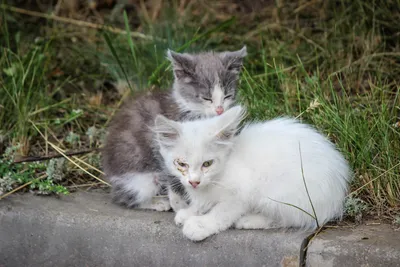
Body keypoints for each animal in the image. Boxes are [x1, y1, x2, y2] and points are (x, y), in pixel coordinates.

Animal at [101, 47, 247, 213]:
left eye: (227, 96)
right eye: (207, 98)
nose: (220, 110)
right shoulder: (159, 143)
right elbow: (171, 173)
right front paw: (179, 203)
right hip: (139, 177)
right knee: (124, 197)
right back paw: (157, 202)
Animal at [155, 105, 352, 242]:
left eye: (207, 164)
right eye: (181, 164)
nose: (194, 181)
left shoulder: (240, 193)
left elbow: (222, 212)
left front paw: (201, 225)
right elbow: (202, 203)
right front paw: (190, 212)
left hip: (280, 193)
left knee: (296, 219)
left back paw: (251, 220)